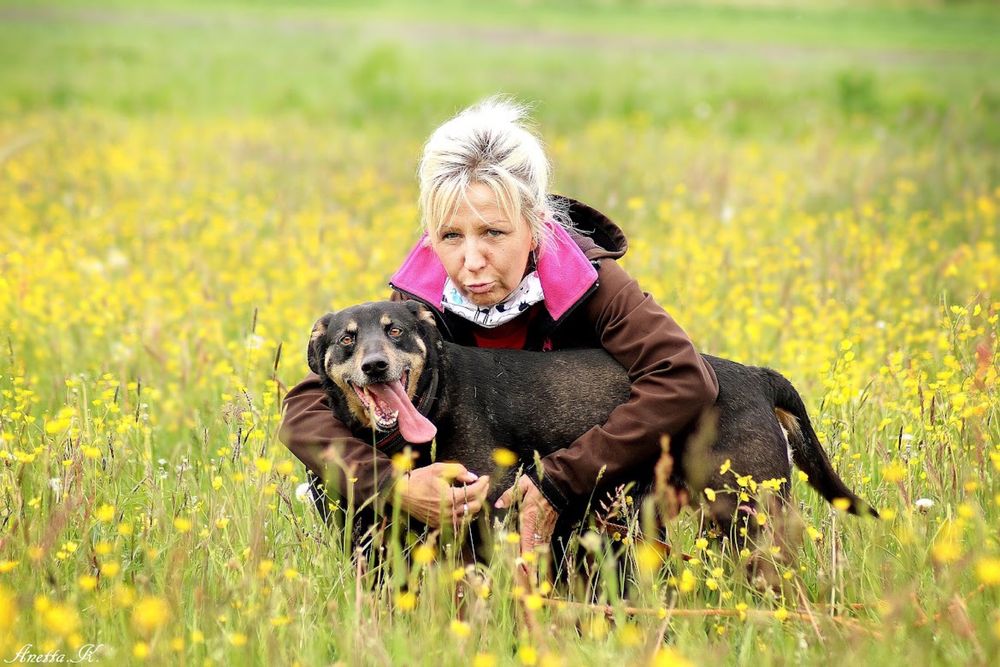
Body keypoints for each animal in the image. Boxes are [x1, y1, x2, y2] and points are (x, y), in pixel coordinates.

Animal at [304, 300, 876, 544]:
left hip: (748, 511)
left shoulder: (491, 507)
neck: (434, 399)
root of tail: (756, 375)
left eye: (396, 331)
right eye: (348, 339)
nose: (376, 366)